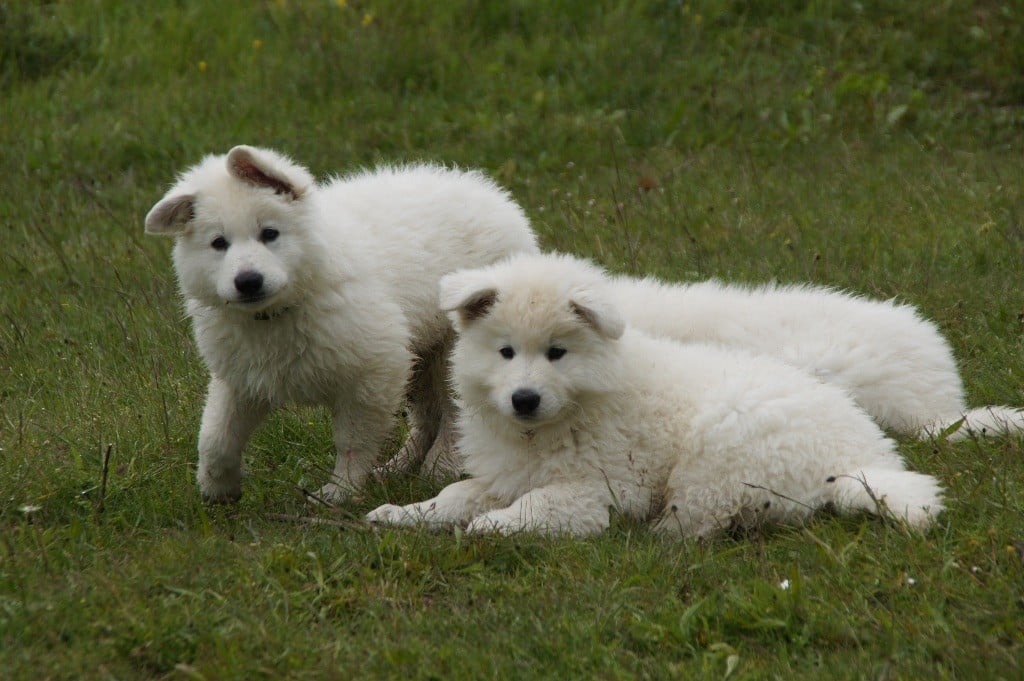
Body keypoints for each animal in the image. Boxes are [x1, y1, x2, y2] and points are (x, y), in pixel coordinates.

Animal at [149, 146, 544, 501]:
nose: (247, 282)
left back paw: (438, 468)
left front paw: (340, 492)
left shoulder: (373, 369)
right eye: (218, 243)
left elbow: (353, 440)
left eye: (270, 234)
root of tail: (490, 193)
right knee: (428, 415)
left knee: (455, 412)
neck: (283, 308)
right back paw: (398, 469)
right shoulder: (243, 376)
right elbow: (215, 435)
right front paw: (217, 488)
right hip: (421, 351)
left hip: (454, 349)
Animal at [366, 250, 942, 536]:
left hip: (726, 442)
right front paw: (403, 514)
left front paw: (494, 525)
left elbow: (543, 504)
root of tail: (862, 458)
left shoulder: (604, 487)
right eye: (505, 352)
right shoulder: (504, 473)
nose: (524, 400)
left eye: (558, 353)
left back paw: (661, 535)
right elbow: (456, 494)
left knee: (709, 511)